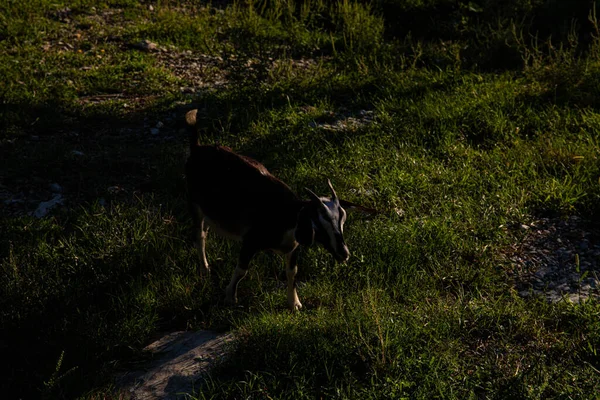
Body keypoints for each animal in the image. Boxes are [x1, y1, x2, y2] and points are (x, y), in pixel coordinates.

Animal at [184, 108, 370, 310]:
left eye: (342, 220)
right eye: (318, 224)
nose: (344, 254)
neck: (284, 215)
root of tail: (197, 147)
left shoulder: (293, 247)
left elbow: (292, 272)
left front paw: (294, 304)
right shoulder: (250, 240)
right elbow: (242, 270)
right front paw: (230, 297)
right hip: (195, 205)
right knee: (199, 236)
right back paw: (205, 269)